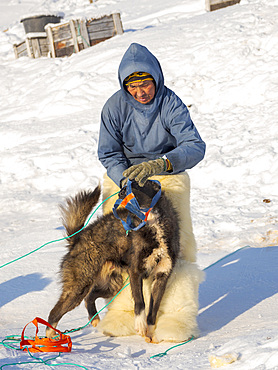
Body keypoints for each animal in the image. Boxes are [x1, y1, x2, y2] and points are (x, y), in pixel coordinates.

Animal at [45, 181, 180, 342]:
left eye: (138, 183)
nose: (121, 192)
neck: (152, 223)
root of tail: (77, 239)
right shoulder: (135, 272)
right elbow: (140, 302)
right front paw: (140, 325)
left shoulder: (162, 276)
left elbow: (154, 309)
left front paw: (151, 331)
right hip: (79, 287)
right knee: (54, 312)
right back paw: (49, 337)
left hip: (112, 285)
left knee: (90, 297)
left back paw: (94, 318)